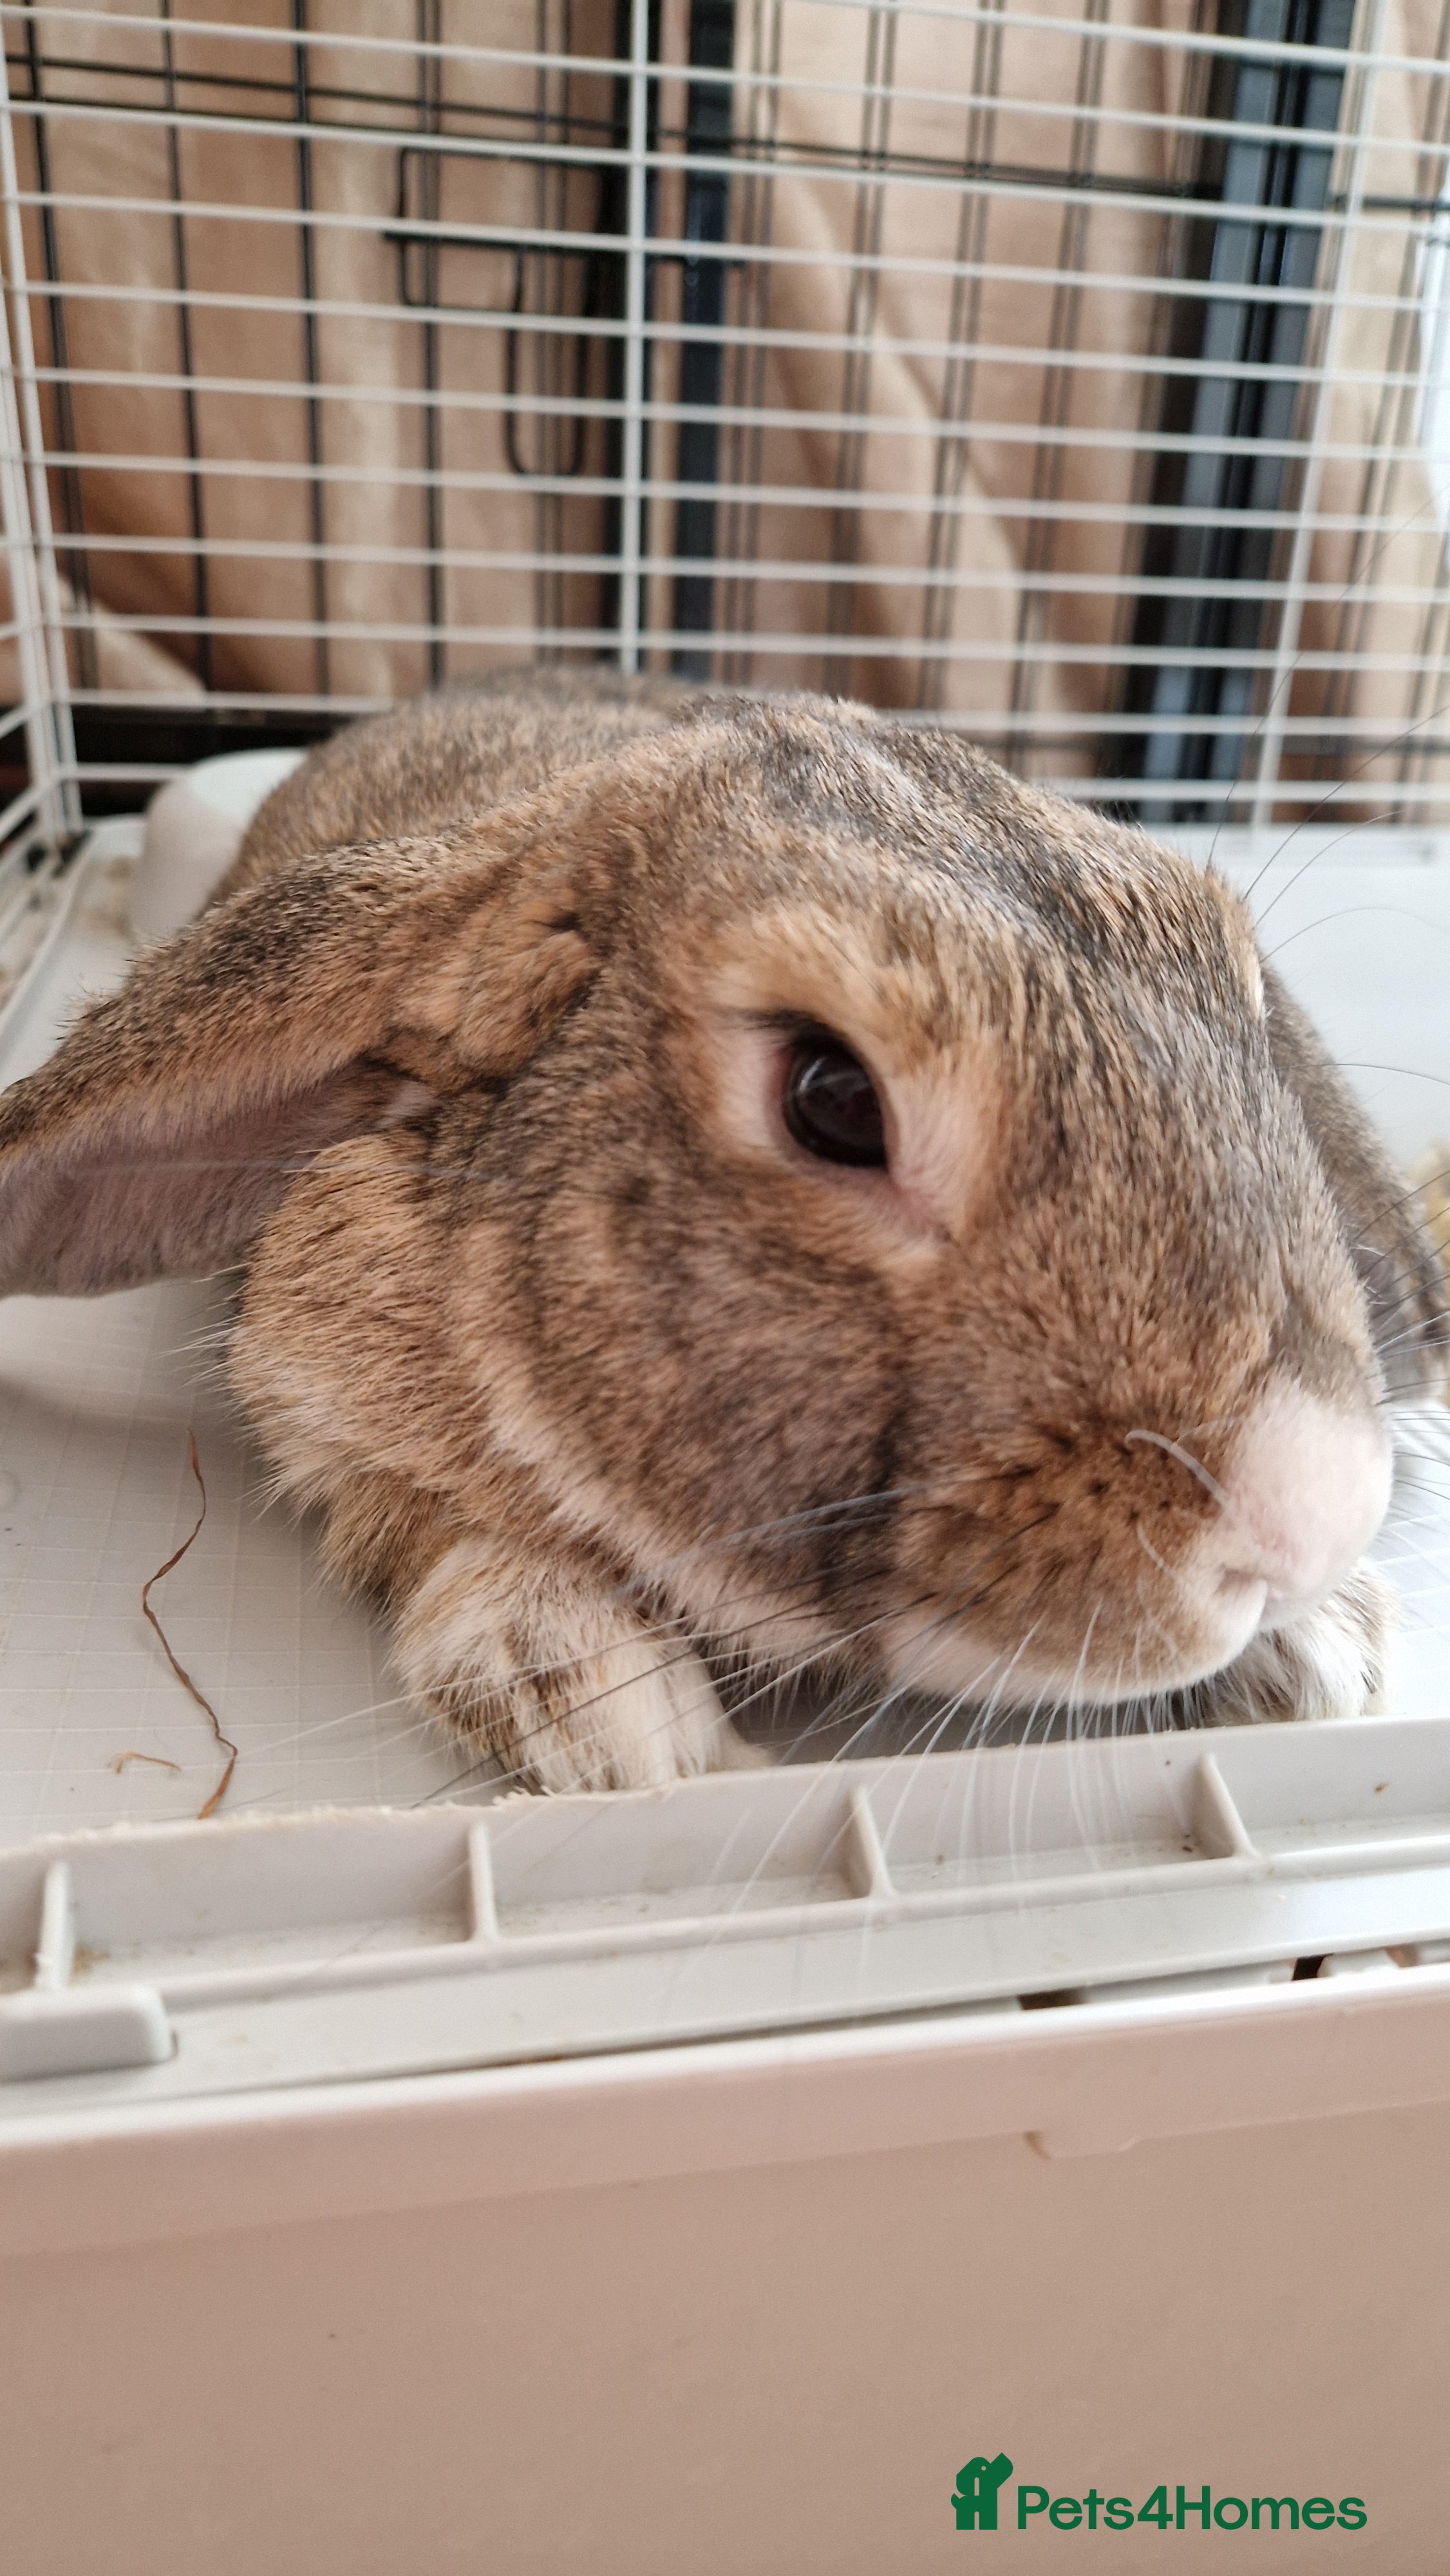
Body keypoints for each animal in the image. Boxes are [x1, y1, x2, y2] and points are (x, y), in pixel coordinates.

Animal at [0, 667, 1443, 1791]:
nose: (1315, 1517)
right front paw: (598, 1701)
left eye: (1236, 991)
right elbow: (413, 1520)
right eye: (832, 1097)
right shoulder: (315, 1407)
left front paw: (1326, 1645)